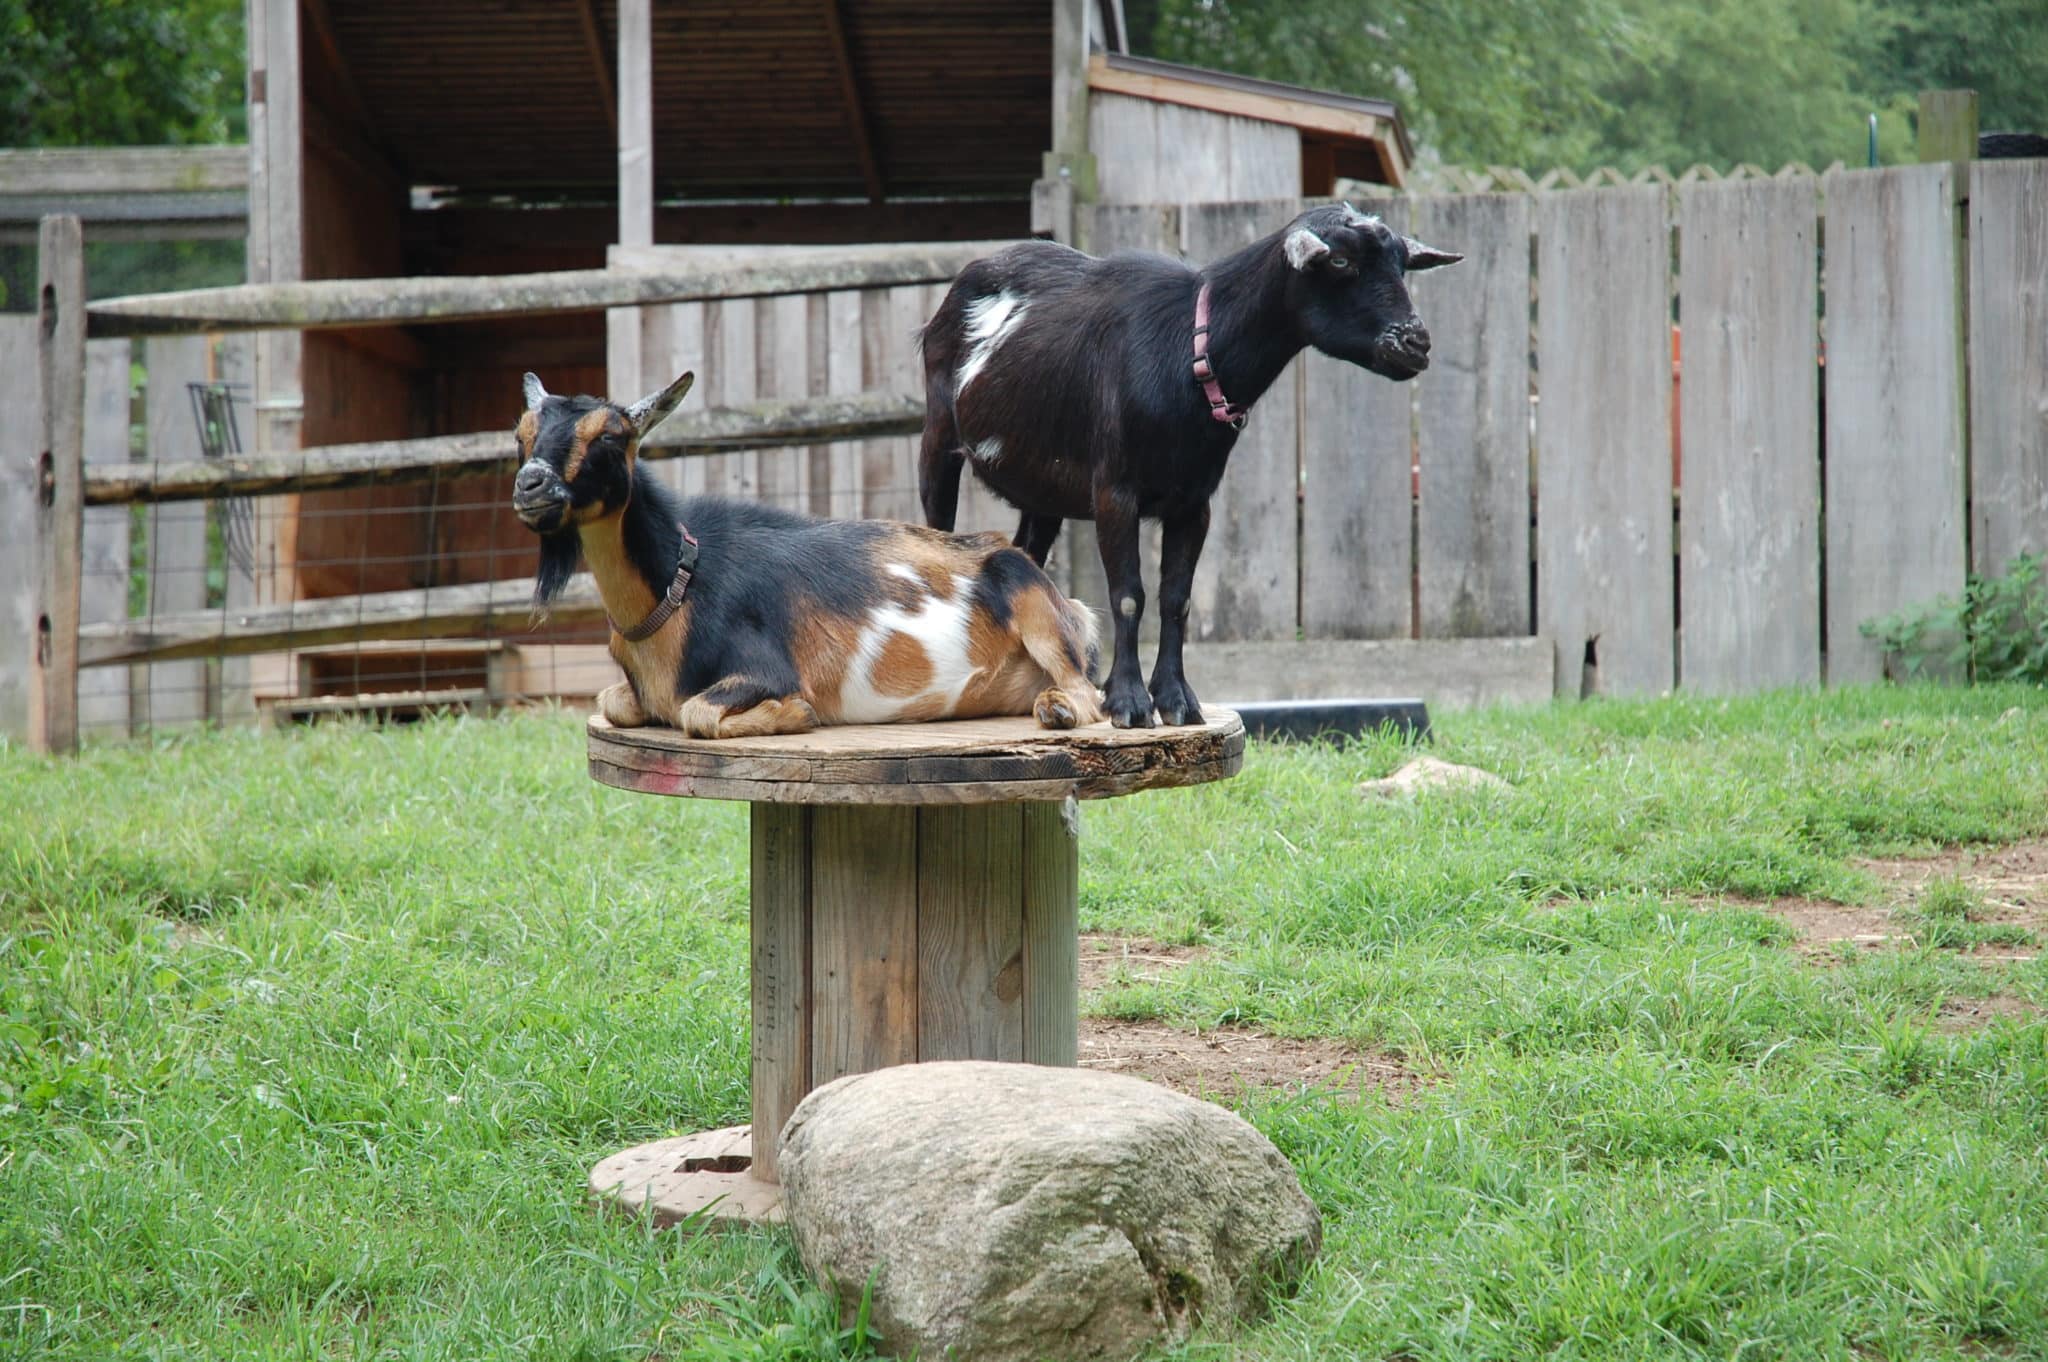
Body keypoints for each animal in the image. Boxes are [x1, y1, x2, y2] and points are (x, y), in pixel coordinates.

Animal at [513, 370, 1104, 738]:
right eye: (521, 436)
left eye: (610, 438)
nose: (529, 485)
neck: (680, 585)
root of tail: (1074, 610)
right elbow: (612, 702)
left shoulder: (765, 669)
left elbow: (696, 712)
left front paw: (795, 712)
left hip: (1032, 601)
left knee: (1088, 697)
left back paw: (1057, 710)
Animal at [917, 203, 1459, 728]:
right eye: (1342, 261)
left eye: (1401, 264)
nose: (1415, 343)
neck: (1189, 350)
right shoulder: (1115, 491)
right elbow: (1128, 594)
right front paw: (1128, 702)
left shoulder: (1194, 502)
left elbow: (1176, 599)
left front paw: (1176, 700)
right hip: (938, 437)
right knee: (938, 522)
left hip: (1043, 490)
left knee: (1030, 553)